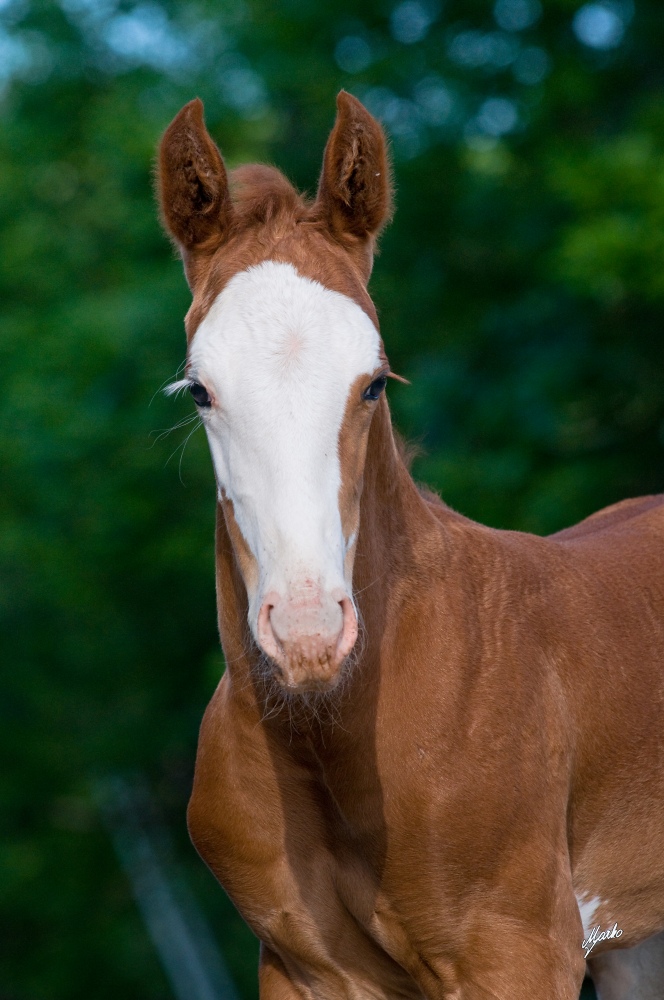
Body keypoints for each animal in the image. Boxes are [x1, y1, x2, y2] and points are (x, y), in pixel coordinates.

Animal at [158, 90, 664, 996]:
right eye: (200, 390)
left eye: (373, 383)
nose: (309, 632)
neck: (330, 731)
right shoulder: (303, 969)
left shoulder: (520, 951)